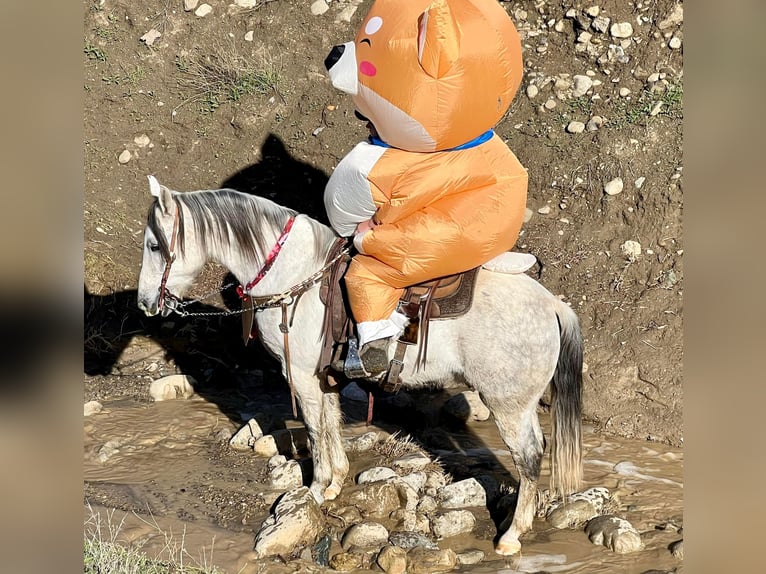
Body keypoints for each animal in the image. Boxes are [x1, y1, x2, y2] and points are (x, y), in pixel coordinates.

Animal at [136, 177, 584, 560]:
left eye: (154, 245)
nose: (144, 302)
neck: (296, 274)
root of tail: (553, 305)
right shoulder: (324, 378)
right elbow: (331, 424)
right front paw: (335, 483)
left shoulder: (301, 377)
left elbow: (315, 431)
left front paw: (316, 490)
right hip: (519, 405)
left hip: (508, 404)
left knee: (529, 458)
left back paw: (511, 536)